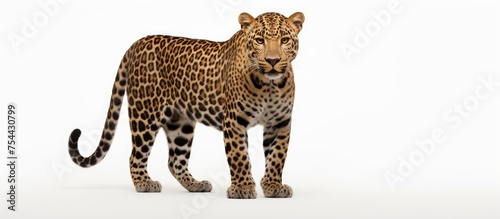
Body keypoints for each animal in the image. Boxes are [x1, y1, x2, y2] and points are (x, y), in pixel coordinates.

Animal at [67, 11, 304, 198]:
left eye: (284, 40)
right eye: (259, 40)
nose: (272, 60)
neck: (269, 85)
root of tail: (138, 43)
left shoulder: (280, 123)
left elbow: (277, 157)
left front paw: (273, 186)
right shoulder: (234, 121)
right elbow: (239, 156)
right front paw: (243, 188)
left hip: (180, 123)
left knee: (175, 161)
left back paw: (196, 185)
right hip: (145, 114)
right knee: (135, 155)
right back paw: (144, 183)